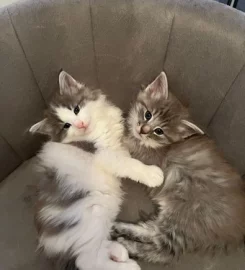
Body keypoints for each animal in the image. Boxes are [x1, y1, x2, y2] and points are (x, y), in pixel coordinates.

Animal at [30, 71, 164, 270]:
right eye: (66, 126)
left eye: (76, 109)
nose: (80, 124)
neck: (97, 128)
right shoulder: (104, 155)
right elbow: (129, 163)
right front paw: (153, 174)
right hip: (90, 217)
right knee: (89, 260)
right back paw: (128, 266)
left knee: (98, 249)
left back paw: (118, 252)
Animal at [112, 71, 245, 264]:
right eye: (148, 114)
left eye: (159, 131)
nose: (143, 130)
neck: (163, 146)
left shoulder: (147, 157)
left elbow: (126, 140)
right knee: (153, 231)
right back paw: (121, 227)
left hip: (185, 218)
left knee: (163, 250)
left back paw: (127, 244)